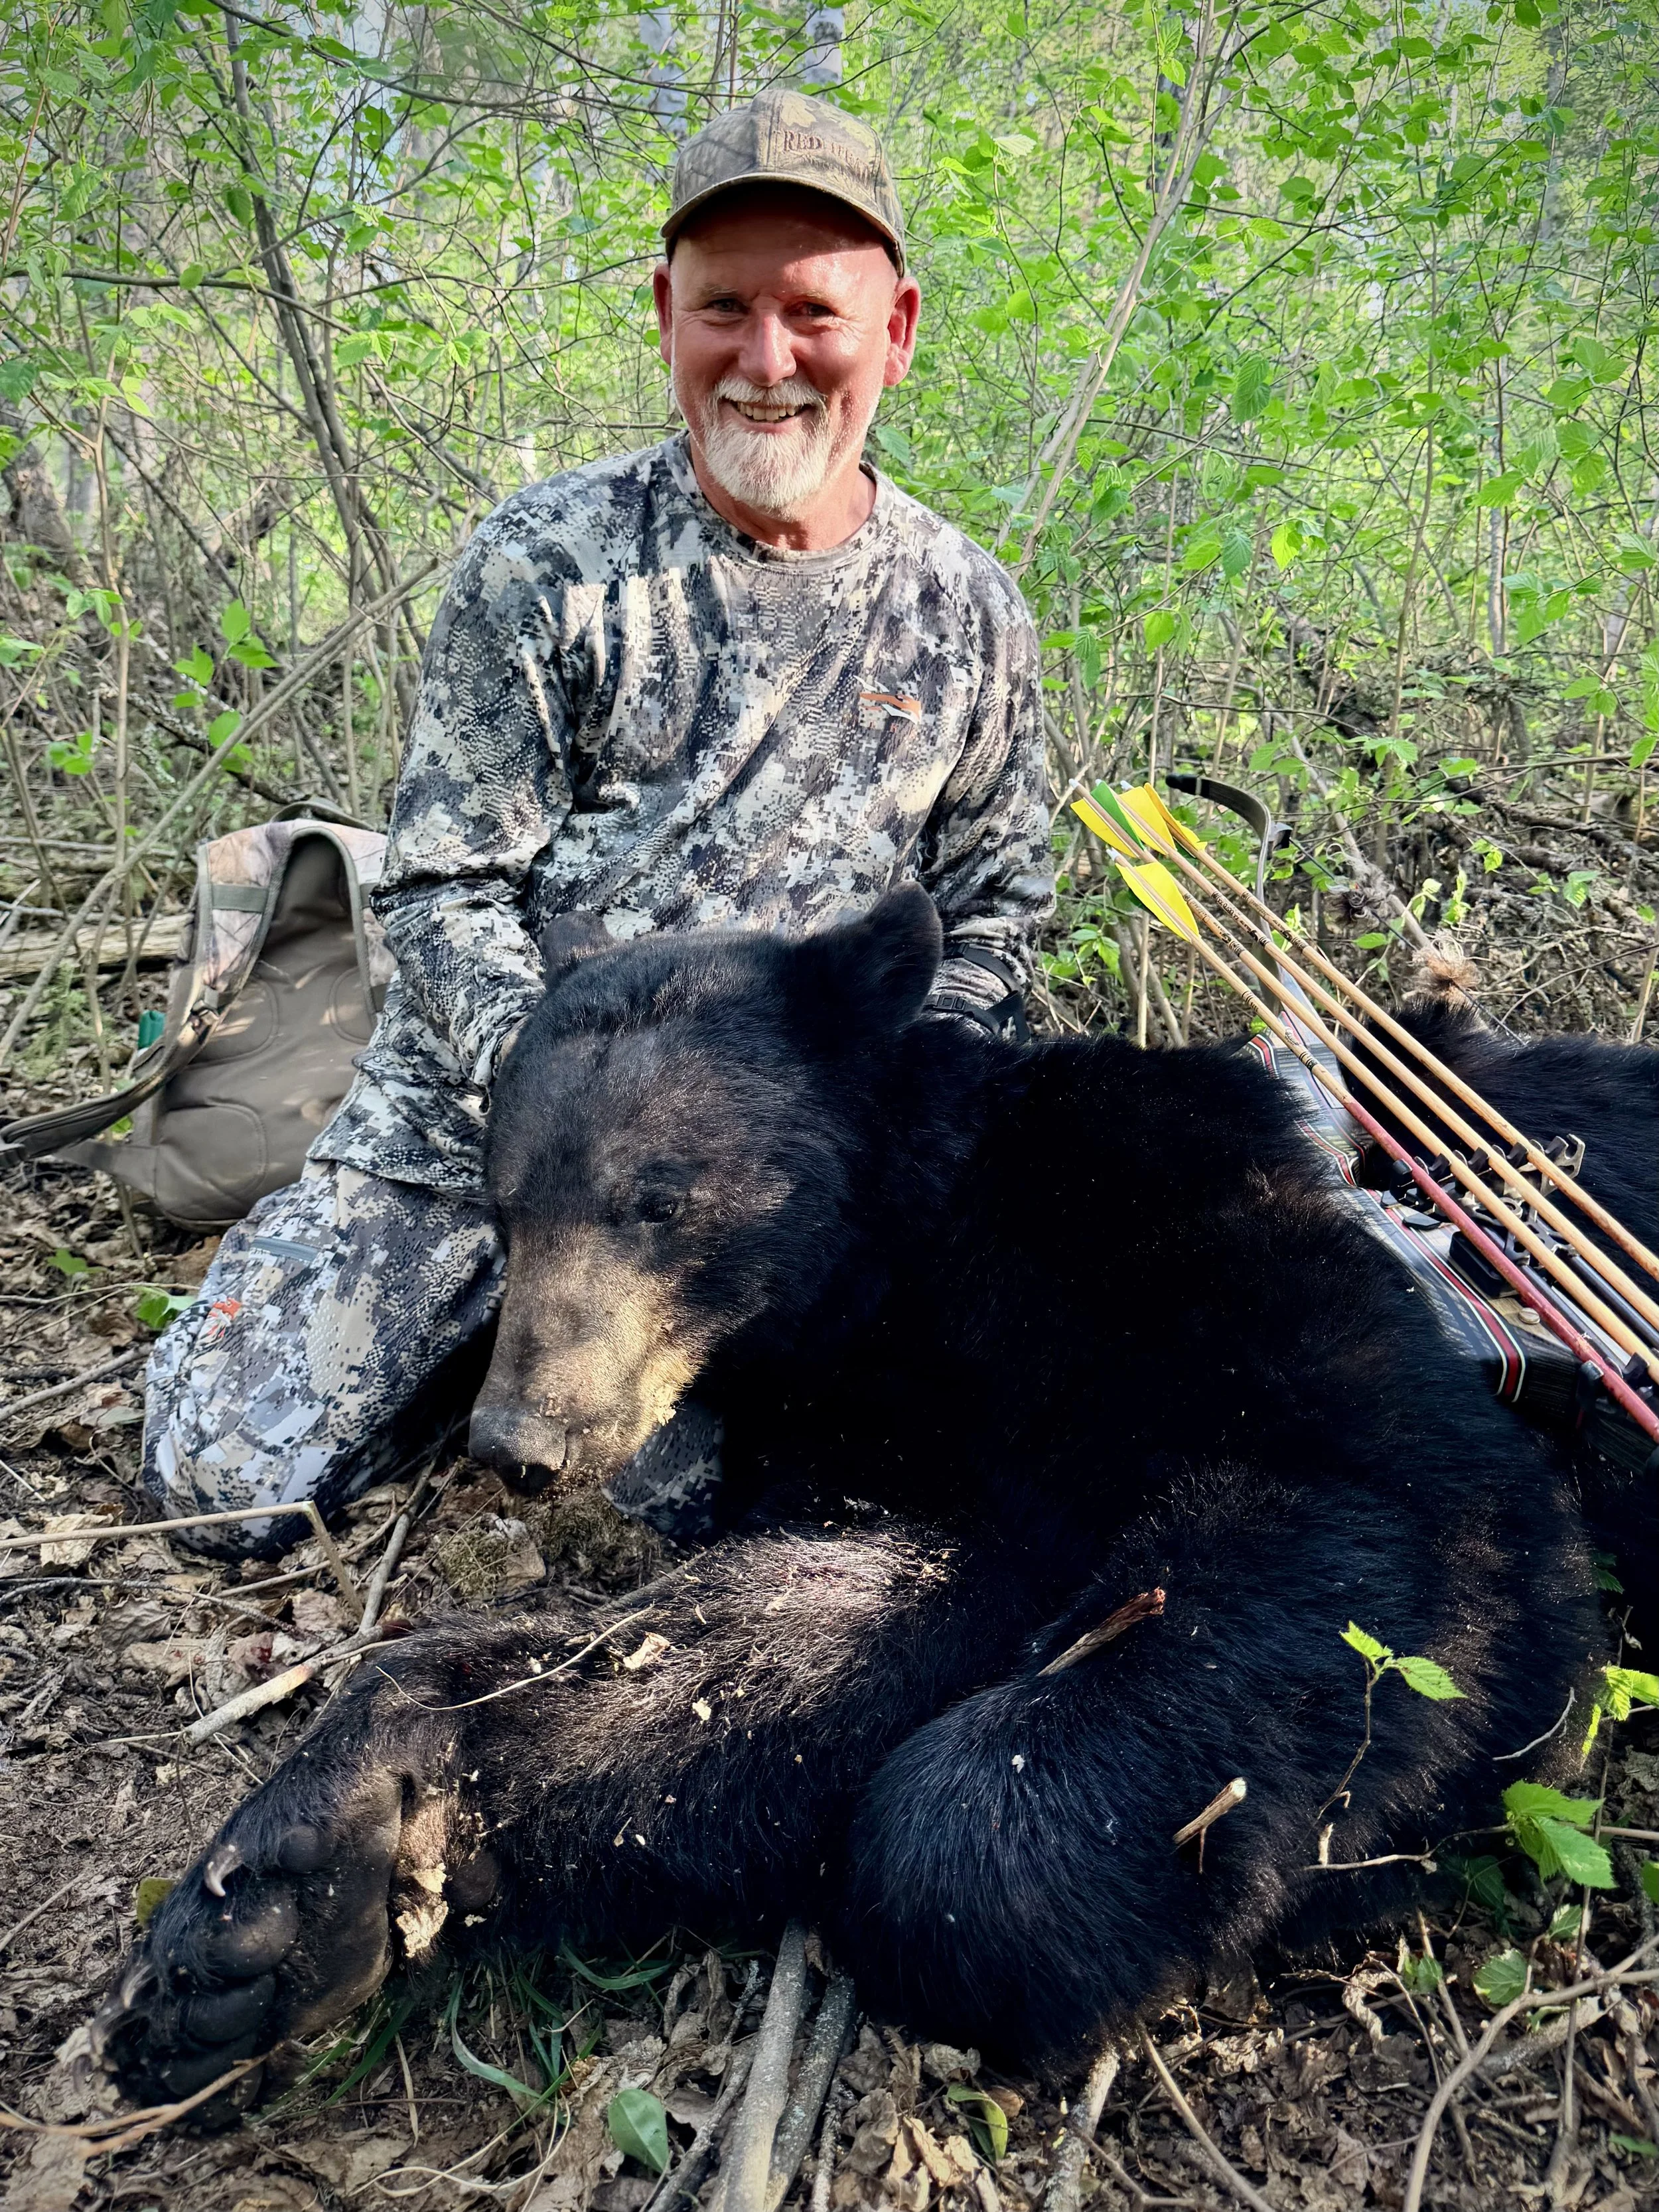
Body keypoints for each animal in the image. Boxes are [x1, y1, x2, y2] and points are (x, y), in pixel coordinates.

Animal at [92, 886, 1621, 2116]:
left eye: (657, 1198)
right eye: (507, 1204)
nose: (519, 1437)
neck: (916, 1244)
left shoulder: (1204, 1241)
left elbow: (1401, 1532)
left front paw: (986, 1883)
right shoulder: (902, 1445)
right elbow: (780, 1640)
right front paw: (284, 1889)